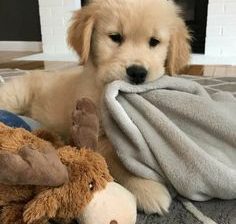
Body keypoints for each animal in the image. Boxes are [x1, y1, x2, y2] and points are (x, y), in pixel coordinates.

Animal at [0, 0, 190, 215]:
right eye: (115, 37)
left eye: (154, 42)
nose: (137, 73)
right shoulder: (94, 134)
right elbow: (117, 161)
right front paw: (147, 188)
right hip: (15, 96)